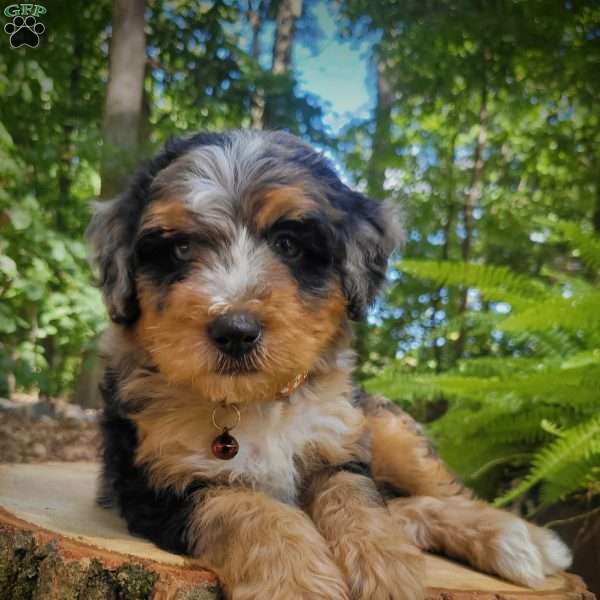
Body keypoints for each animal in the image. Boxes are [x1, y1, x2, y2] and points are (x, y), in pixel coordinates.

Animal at [89, 131, 572, 600]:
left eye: (288, 244)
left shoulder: (338, 443)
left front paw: (386, 570)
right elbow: (249, 508)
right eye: (181, 248)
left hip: (388, 427)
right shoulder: (159, 478)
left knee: (443, 493)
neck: (256, 402)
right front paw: (299, 584)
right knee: (407, 508)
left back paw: (523, 539)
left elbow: (356, 498)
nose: (236, 330)